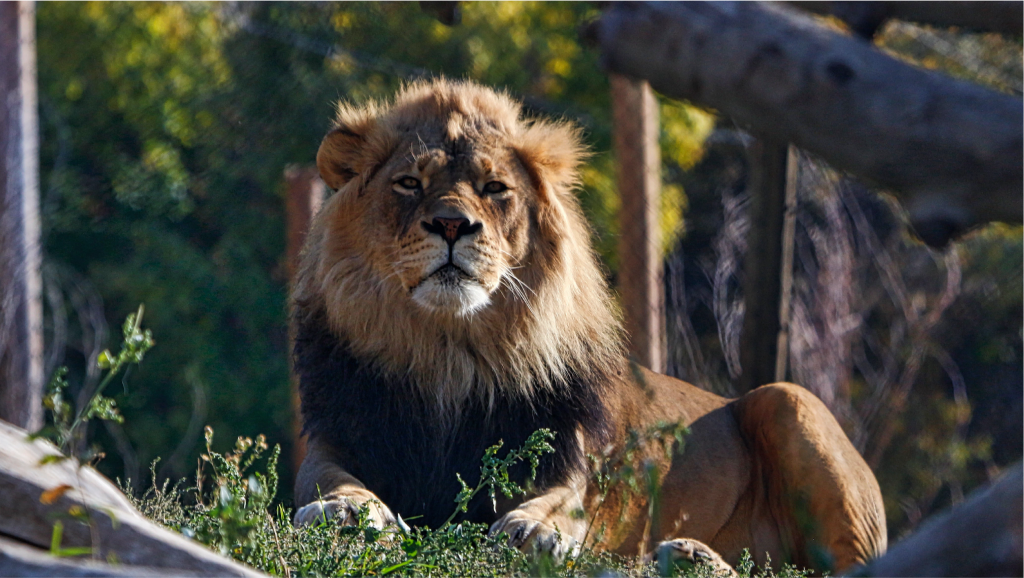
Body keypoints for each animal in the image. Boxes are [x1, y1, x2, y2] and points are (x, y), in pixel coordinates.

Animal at [290, 77, 888, 573]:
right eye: (409, 183)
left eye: (495, 188)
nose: (452, 224)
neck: (449, 354)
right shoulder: (334, 434)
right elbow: (328, 479)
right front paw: (348, 512)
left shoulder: (569, 461)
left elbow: (562, 502)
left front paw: (533, 531)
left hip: (790, 399)